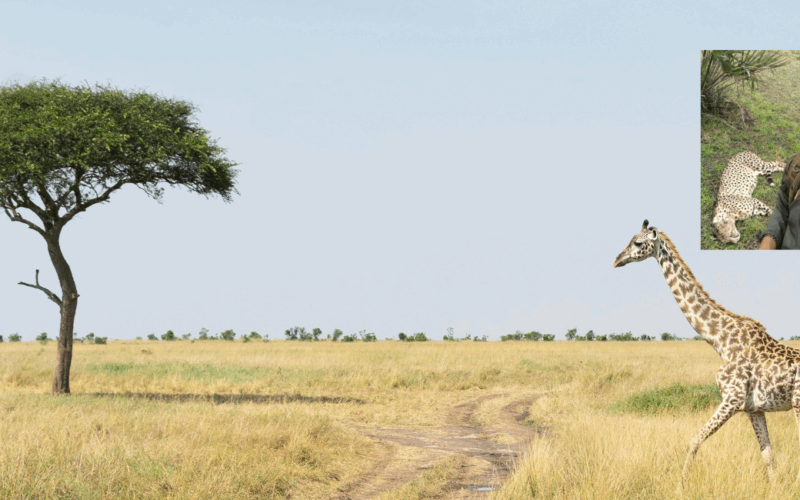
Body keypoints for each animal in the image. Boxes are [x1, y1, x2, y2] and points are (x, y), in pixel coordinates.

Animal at [613, 219, 800, 481]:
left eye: (638, 243)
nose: (617, 260)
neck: (720, 341)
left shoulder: (732, 398)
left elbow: (694, 441)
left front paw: (680, 484)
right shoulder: (752, 408)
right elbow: (768, 455)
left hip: (798, 403)